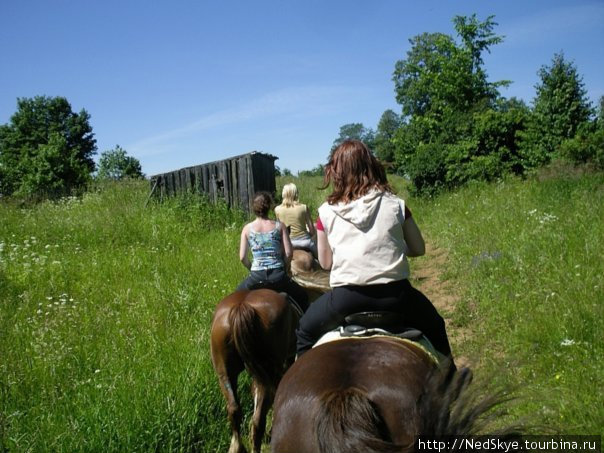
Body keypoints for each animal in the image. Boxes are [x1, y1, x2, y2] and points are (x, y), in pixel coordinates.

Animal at [210, 288, 300, 452]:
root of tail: (241, 307)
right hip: (266, 372)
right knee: (258, 418)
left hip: (225, 373)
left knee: (234, 409)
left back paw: (237, 447)